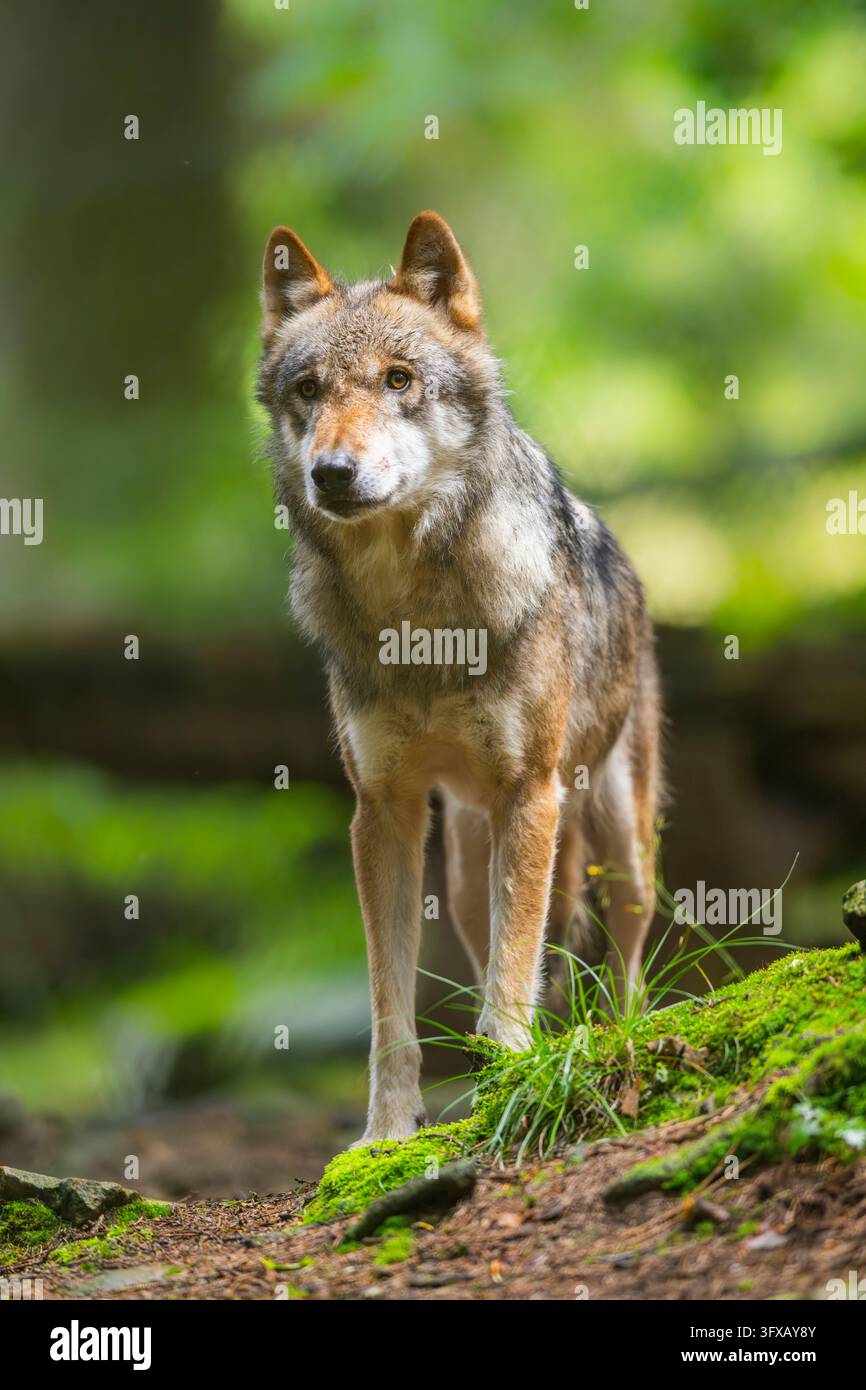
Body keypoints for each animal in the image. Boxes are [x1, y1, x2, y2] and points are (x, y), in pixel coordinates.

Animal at [257, 212, 662, 1144]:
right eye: (309, 390)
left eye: (399, 380)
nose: (332, 473)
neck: (418, 620)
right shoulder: (382, 813)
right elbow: (391, 1007)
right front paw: (386, 1134)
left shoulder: (531, 791)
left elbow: (515, 974)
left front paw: (515, 1075)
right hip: (469, 866)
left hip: (614, 838)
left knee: (621, 965)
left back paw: (608, 1048)